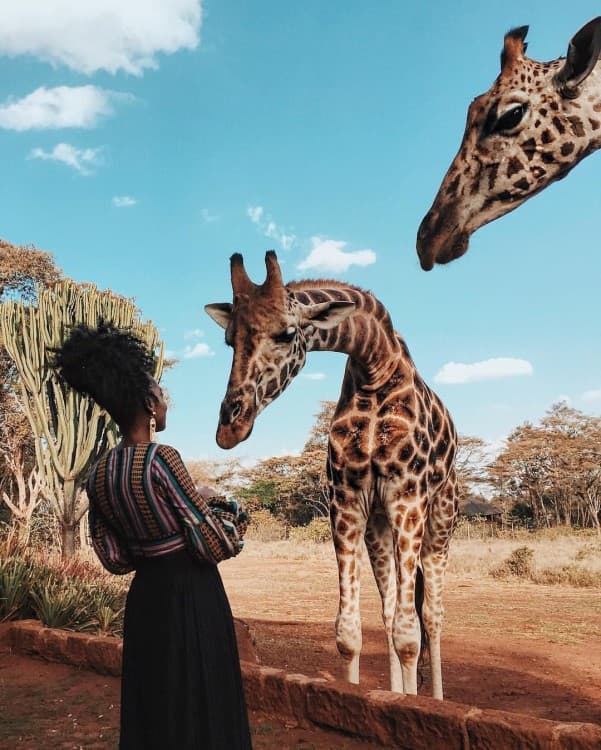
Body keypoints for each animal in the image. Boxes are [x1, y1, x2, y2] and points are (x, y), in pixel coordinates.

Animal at [205, 251, 458, 699]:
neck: (375, 367)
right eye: (229, 340)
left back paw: (435, 697)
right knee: (390, 610)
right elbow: (349, 632)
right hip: (379, 526)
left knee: (431, 616)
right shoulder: (346, 500)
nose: (230, 428)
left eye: (287, 333)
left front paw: (416, 705)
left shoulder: (407, 496)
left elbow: (410, 635)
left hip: (440, 521)